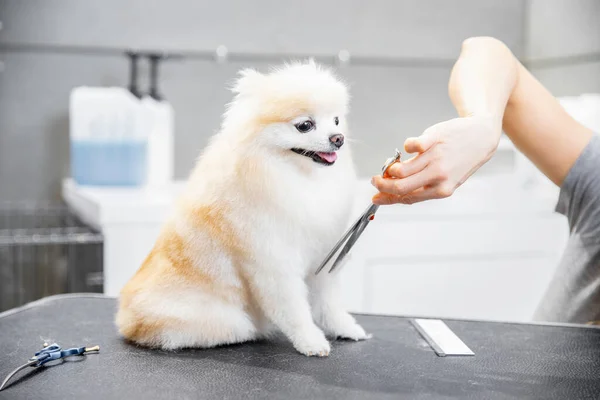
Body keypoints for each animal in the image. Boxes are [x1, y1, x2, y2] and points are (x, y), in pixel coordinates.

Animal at [113, 59, 370, 356]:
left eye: (336, 120)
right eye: (305, 125)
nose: (338, 138)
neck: (299, 177)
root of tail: (127, 318)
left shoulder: (323, 257)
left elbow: (329, 303)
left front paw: (346, 328)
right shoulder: (273, 264)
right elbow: (294, 309)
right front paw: (311, 341)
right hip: (224, 318)